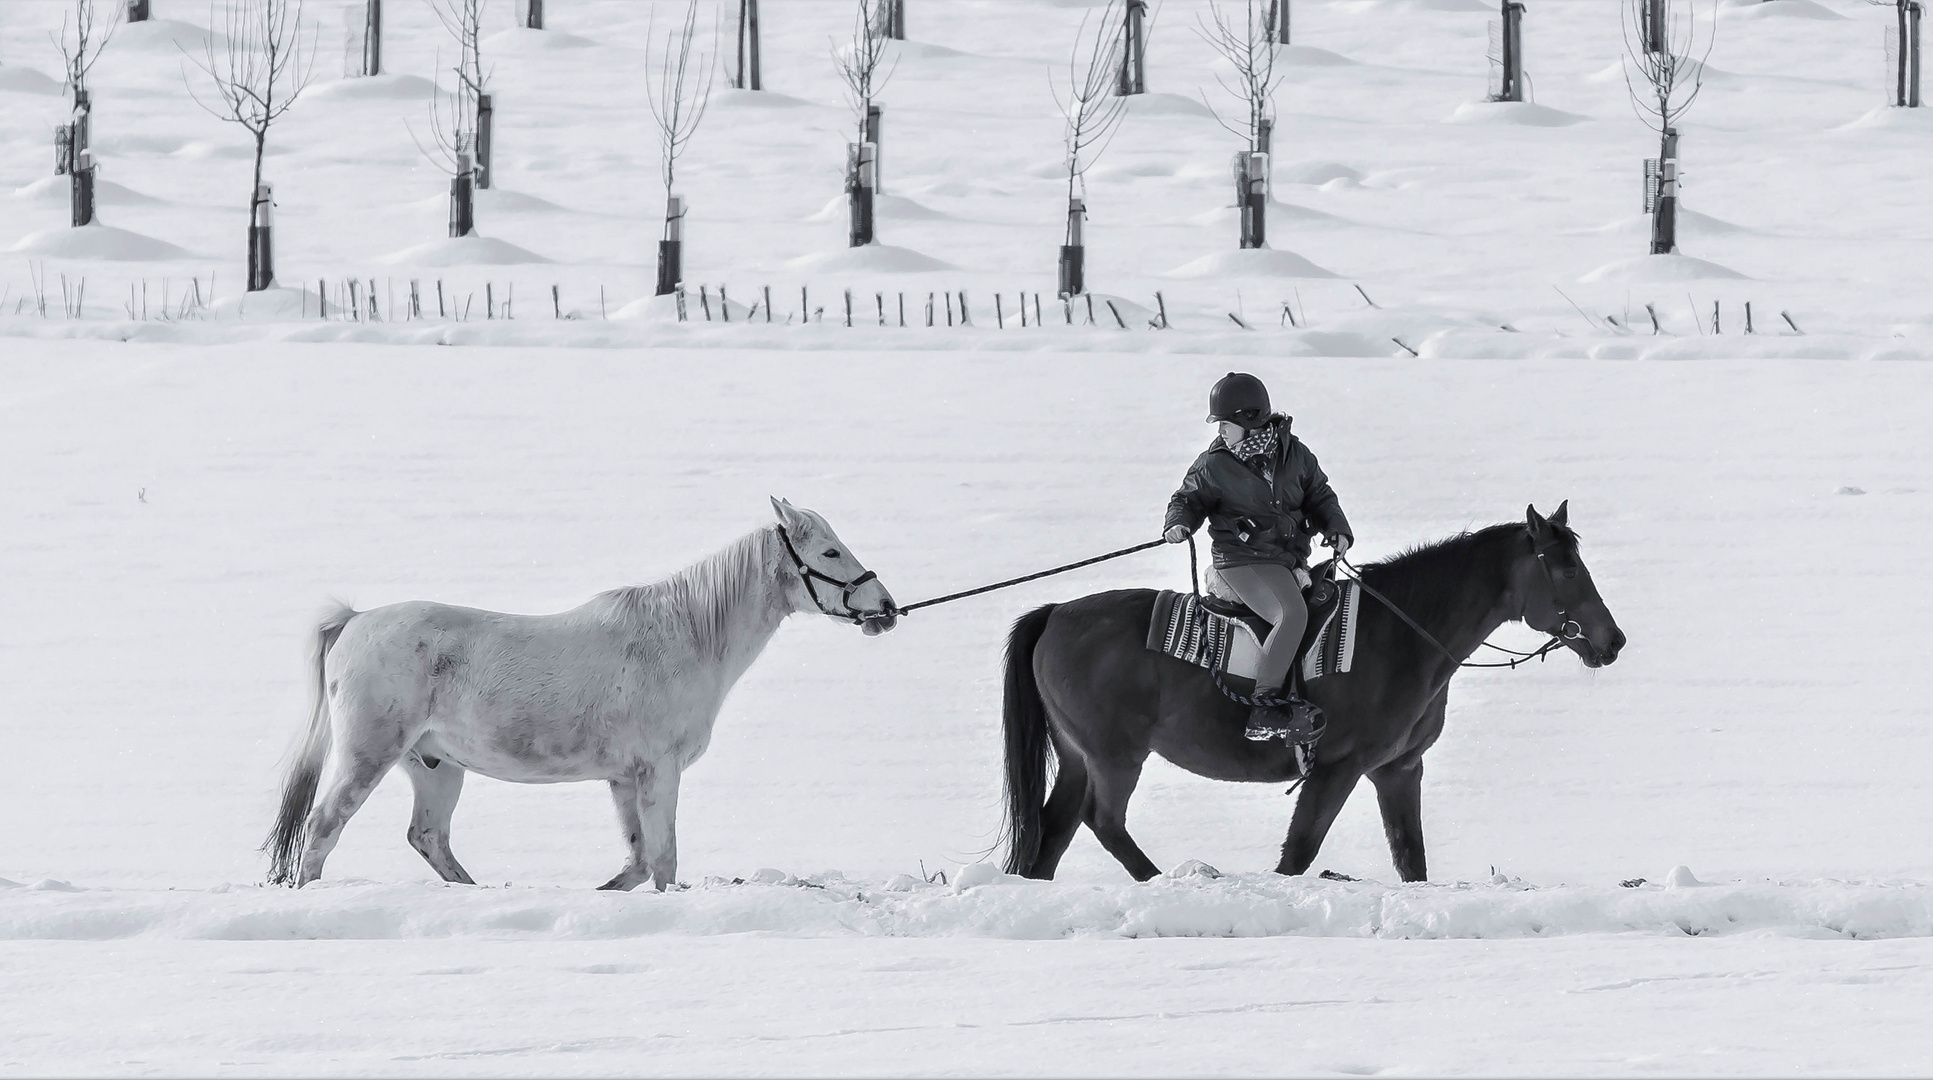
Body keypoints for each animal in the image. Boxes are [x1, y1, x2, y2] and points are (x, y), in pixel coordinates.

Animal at [264, 498, 896, 888]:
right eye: (831, 552)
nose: (886, 608)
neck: (683, 638)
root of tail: (354, 621)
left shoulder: (624, 779)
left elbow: (640, 862)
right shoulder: (658, 771)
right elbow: (662, 860)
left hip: (436, 767)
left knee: (429, 838)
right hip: (368, 756)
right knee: (323, 829)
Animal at [1005, 502, 1623, 884]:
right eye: (1566, 570)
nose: (1612, 640)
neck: (1399, 633)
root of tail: (1055, 613)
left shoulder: (1399, 770)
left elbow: (1411, 858)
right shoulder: (1336, 768)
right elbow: (1299, 853)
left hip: (1079, 757)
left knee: (1053, 833)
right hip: (1115, 756)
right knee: (1102, 821)